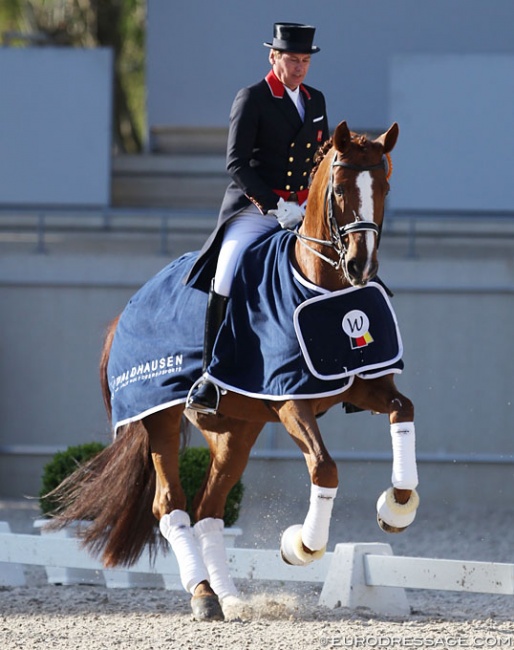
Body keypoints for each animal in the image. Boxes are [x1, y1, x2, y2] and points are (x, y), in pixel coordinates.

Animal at [48, 120, 416, 616]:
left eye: (384, 188)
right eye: (339, 189)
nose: (361, 267)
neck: (319, 286)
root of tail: (128, 308)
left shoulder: (360, 386)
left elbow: (403, 409)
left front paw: (397, 505)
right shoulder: (290, 400)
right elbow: (324, 468)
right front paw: (302, 545)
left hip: (236, 428)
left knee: (209, 509)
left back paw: (230, 598)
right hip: (160, 420)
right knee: (171, 506)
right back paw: (203, 595)